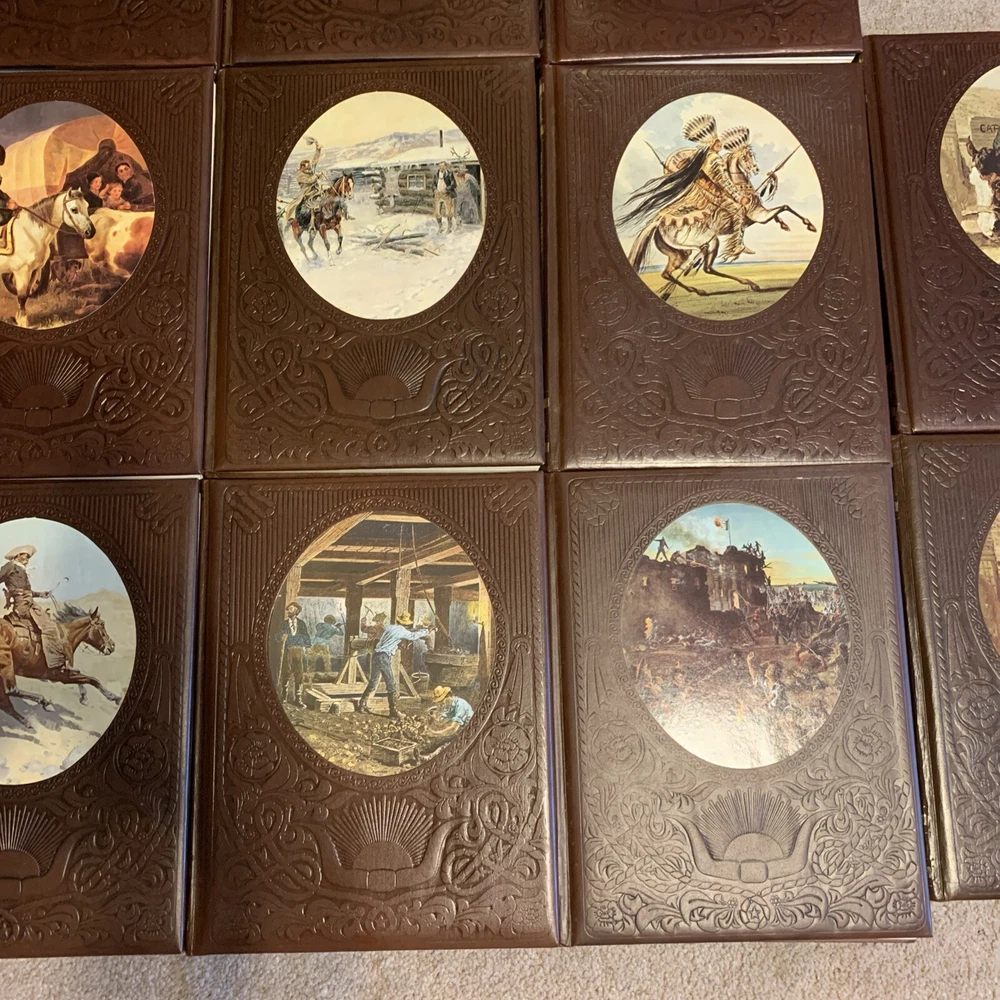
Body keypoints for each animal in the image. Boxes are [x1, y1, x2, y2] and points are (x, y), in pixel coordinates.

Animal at [0, 190, 96, 327]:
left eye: (87, 206)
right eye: (74, 209)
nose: (90, 231)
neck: (29, 233)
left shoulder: (34, 270)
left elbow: (26, 294)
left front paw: (19, 319)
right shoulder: (22, 272)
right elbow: (22, 296)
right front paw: (23, 322)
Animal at [620, 143, 816, 300]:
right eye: (746, 157)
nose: (756, 169)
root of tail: (658, 223)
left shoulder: (759, 215)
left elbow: (780, 211)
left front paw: (785, 224)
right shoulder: (758, 216)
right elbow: (784, 206)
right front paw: (810, 225)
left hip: (679, 253)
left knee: (670, 272)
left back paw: (697, 290)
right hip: (709, 241)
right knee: (705, 267)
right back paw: (747, 284)